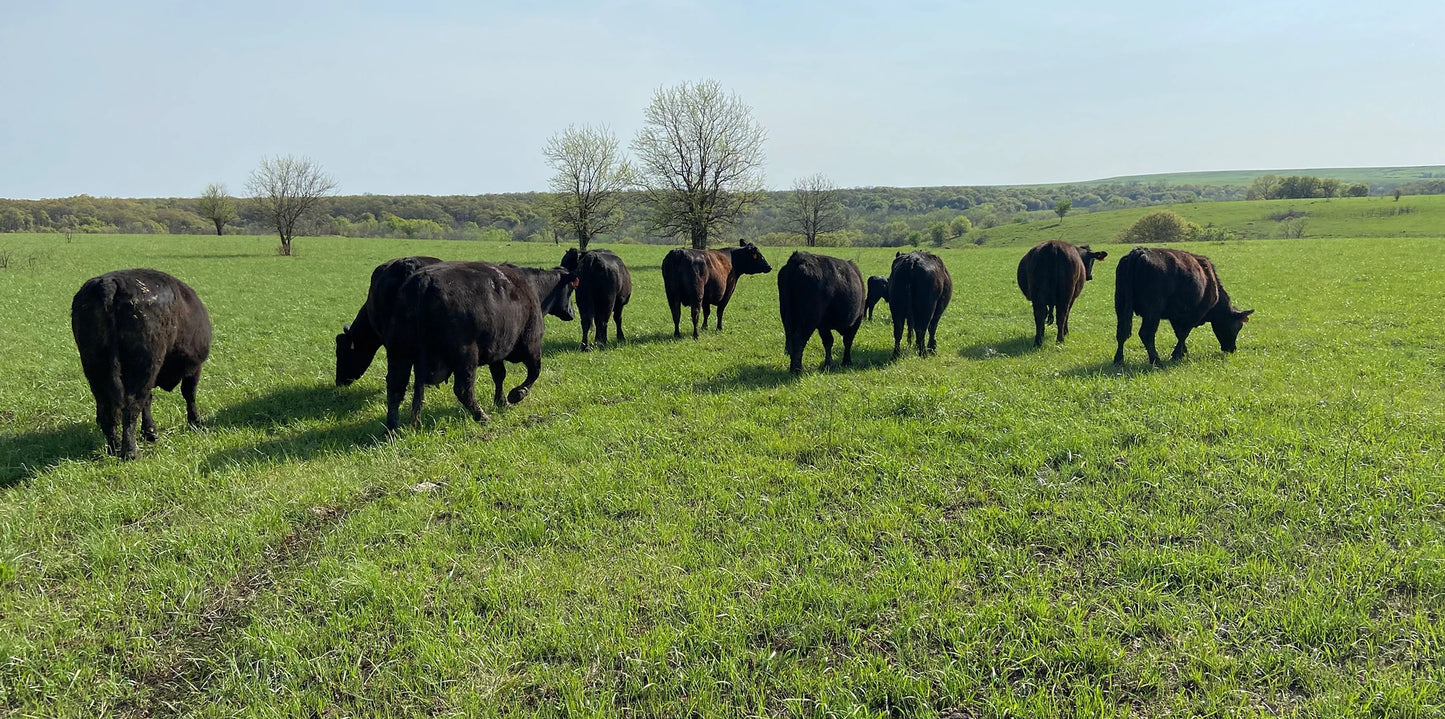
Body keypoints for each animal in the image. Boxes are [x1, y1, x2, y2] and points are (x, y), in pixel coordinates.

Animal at [70, 269, 212, 462]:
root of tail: (109, 283)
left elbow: (149, 400)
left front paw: (150, 432)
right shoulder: (194, 368)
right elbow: (189, 394)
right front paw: (195, 422)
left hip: (95, 369)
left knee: (107, 410)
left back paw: (115, 448)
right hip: (144, 368)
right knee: (130, 407)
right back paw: (131, 452)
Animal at [384, 264, 575, 433]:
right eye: (571, 289)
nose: (572, 313)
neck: (532, 288)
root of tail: (424, 280)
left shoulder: (497, 351)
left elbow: (499, 375)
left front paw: (501, 401)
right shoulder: (531, 344)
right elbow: (535, 371)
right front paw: (516, 394)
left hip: (399, 353)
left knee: (395, 388)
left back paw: (392, 429)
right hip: (466, 356)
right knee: (463, 390)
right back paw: (482, 416)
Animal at [1115, 245, 1254, 365]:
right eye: (1238, 326)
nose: (1232, 349)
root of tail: (1140, 251)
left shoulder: (1175, 316)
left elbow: (1178, 333)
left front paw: (1183, 352)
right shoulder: (1194, 315)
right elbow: (1183, 333)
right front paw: (1177, 355)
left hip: (1120, 305)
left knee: (1122, 332)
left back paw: (1119, 360)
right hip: (1152, 311)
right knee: (1146, 333)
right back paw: (1156, 360)